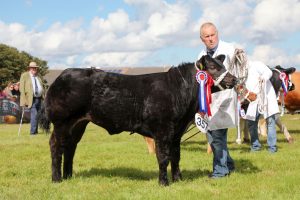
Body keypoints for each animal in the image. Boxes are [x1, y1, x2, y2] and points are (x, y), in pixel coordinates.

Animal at [38, 54, 237, 186]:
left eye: (222, 64)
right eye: (213, 68)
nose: (234, 79)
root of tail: (62, 75)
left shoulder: (177, 132)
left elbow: (176, 156)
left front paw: (178, 179)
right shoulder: (163, 130)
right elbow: (163, 157)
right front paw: (164, 183)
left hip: (79, 123)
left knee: (70, 147)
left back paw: (68, 175)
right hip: (62, 122)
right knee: (56, 146)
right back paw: (57, 179)